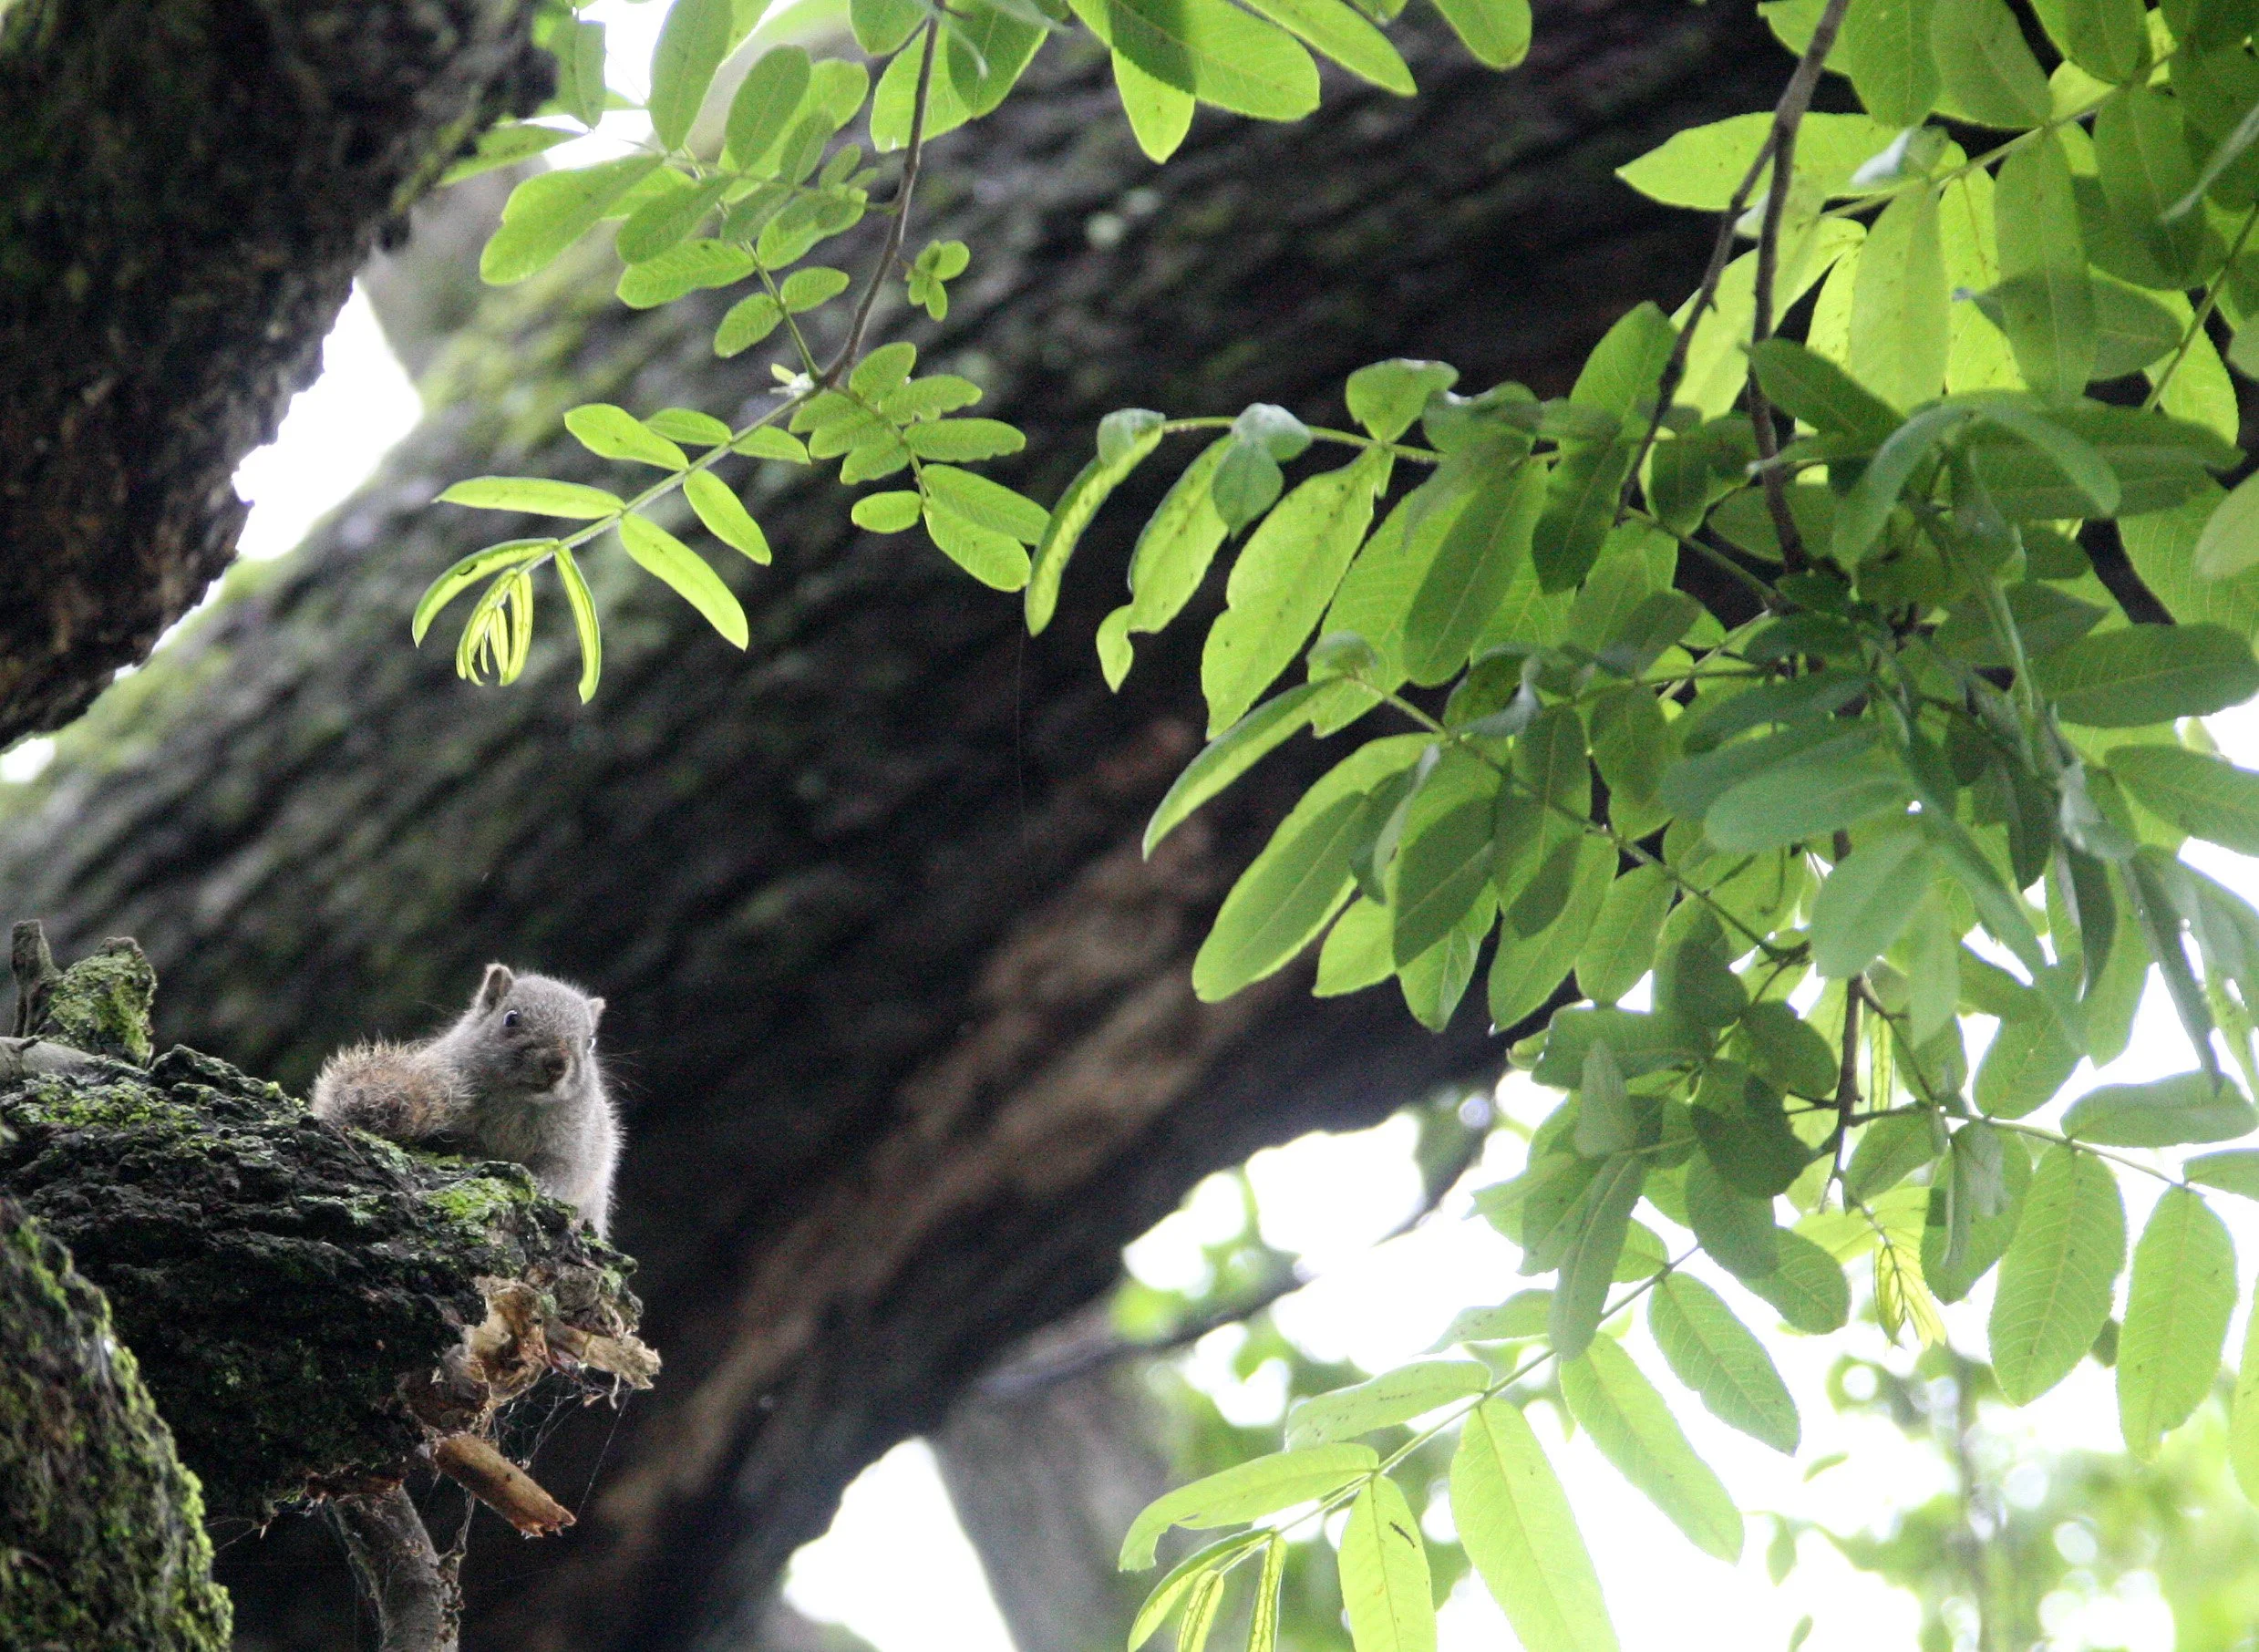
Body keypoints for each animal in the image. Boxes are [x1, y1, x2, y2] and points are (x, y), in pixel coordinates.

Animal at [311, 964, 620, 1237]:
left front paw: (541, 1185)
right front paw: (472, 1154)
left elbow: (566, 1173)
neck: (517, 1100)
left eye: (590, 1042)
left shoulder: (577, 1144)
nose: (557, 1064)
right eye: (511, 1018)